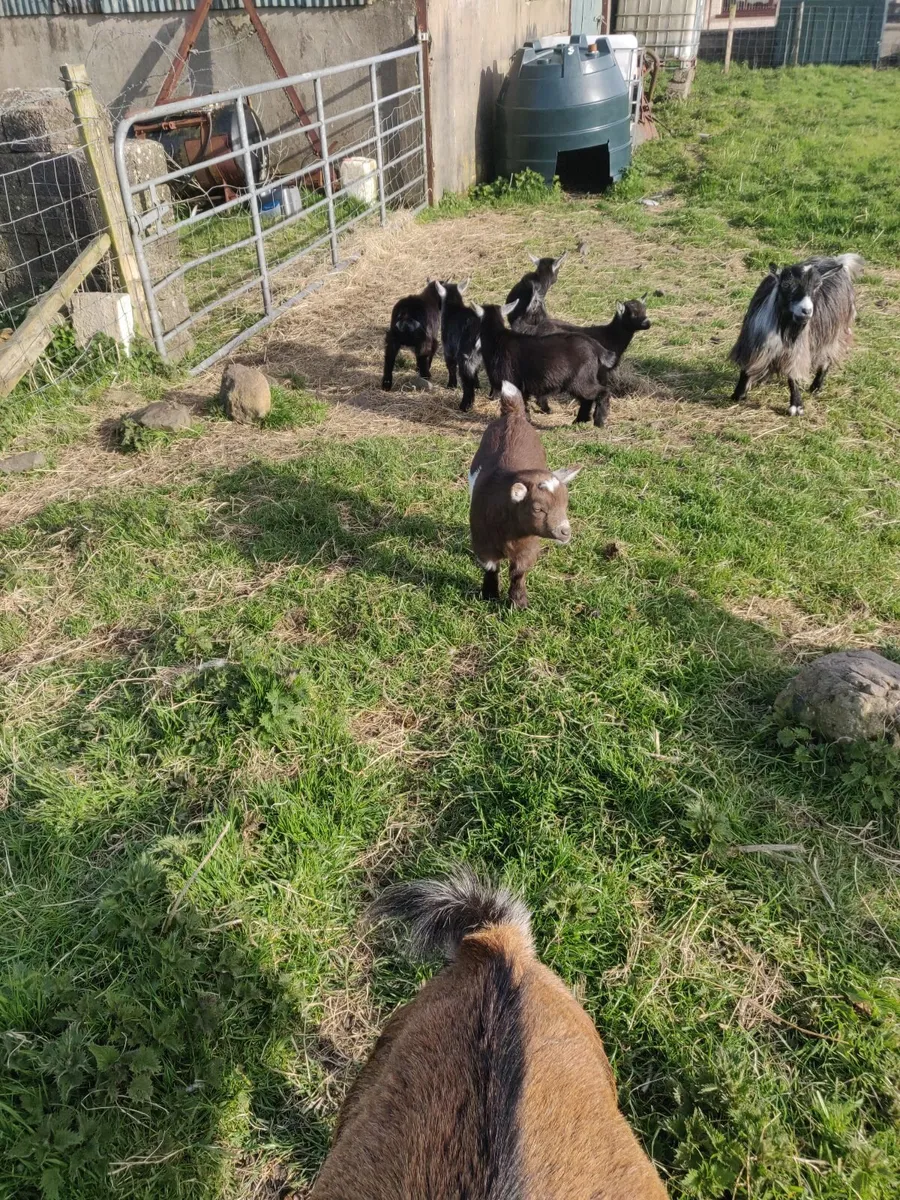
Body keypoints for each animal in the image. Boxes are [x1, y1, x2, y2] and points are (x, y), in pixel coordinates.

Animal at [435, 279, 483, 411]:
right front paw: (478, 386)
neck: (454, 309)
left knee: (467, 383)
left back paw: (464, 406)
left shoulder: (448, 349)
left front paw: (451, 385)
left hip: (465, 356)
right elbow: (476, 372)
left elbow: (451, 366)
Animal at [469, 381, 579, 608]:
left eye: (565, 505)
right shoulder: (482, 540)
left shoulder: (529, 545)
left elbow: (519, 571)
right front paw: (490, 595)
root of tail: (514, 414)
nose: (565, 532)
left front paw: (518, 603)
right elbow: (491, 567)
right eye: (538, 508)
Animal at [476, 301, 615, 422]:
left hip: (581, 381)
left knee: (603, 392)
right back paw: (580, 421)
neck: (497, 338)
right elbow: (524, 404)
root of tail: (596, 346)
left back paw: (599, 420)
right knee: (587, 400)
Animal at [730, 254, 863, 416]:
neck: (783, 325)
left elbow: (793, 374)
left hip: (836, 332)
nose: (806, 311)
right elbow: (747, 365)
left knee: (827, 357)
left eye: (817, 285)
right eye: (786, 284)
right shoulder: (752, 341)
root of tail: (838, 261)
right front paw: (738, 394)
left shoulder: (797, 350)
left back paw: (816, 387)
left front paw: (796, 405)